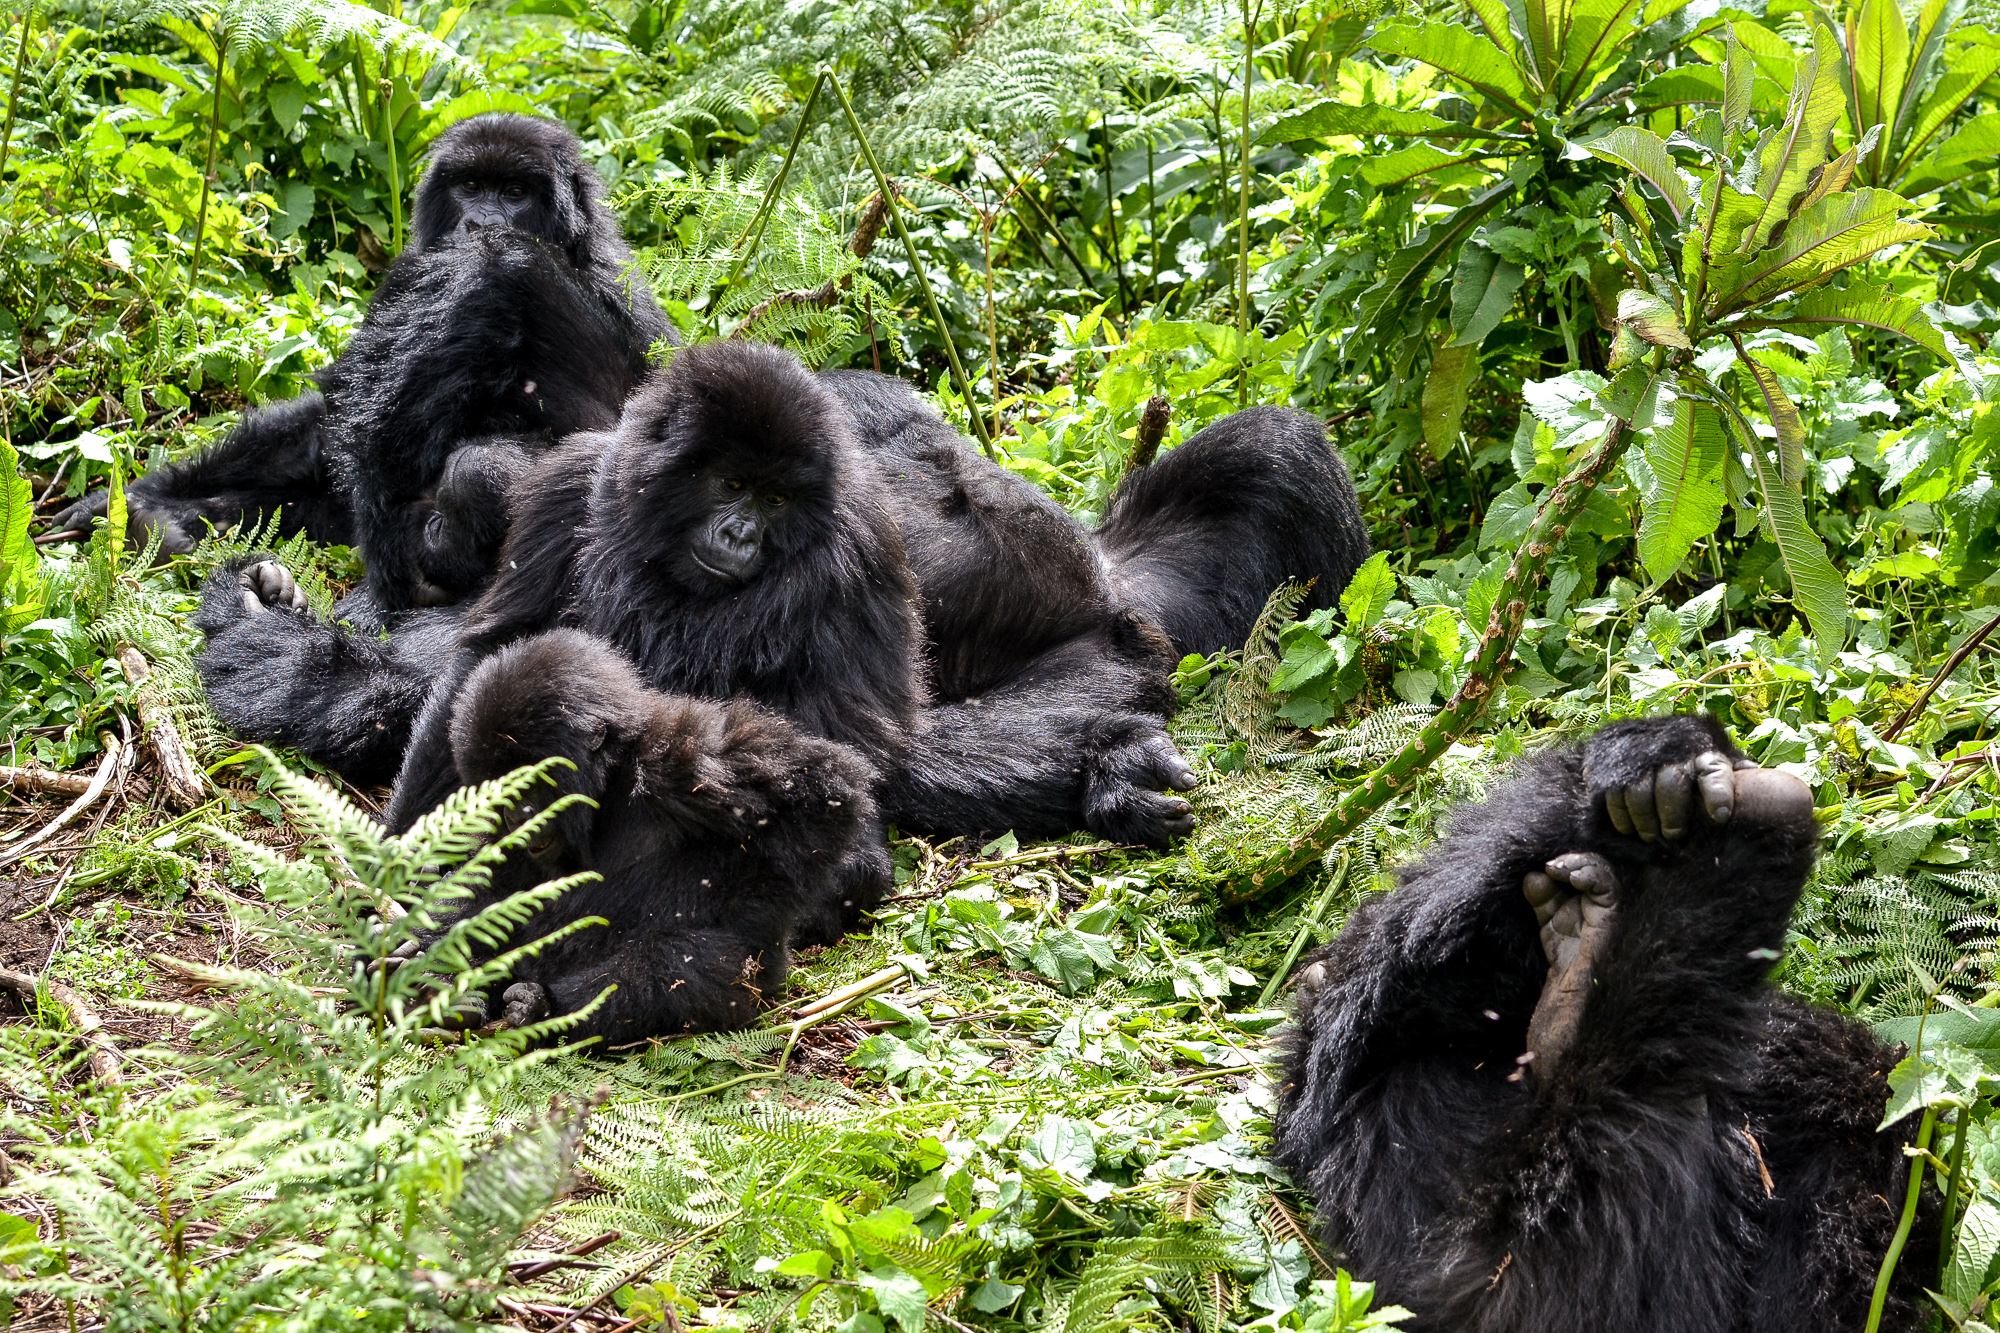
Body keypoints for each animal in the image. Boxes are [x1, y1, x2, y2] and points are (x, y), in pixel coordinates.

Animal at [47, 114, 668, 612]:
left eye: (515, 191)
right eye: (470, 186)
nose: (480, 223)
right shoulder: (409, 271)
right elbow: (336, 409)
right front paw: (133, 498)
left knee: (475, 473)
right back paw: (154, 523)